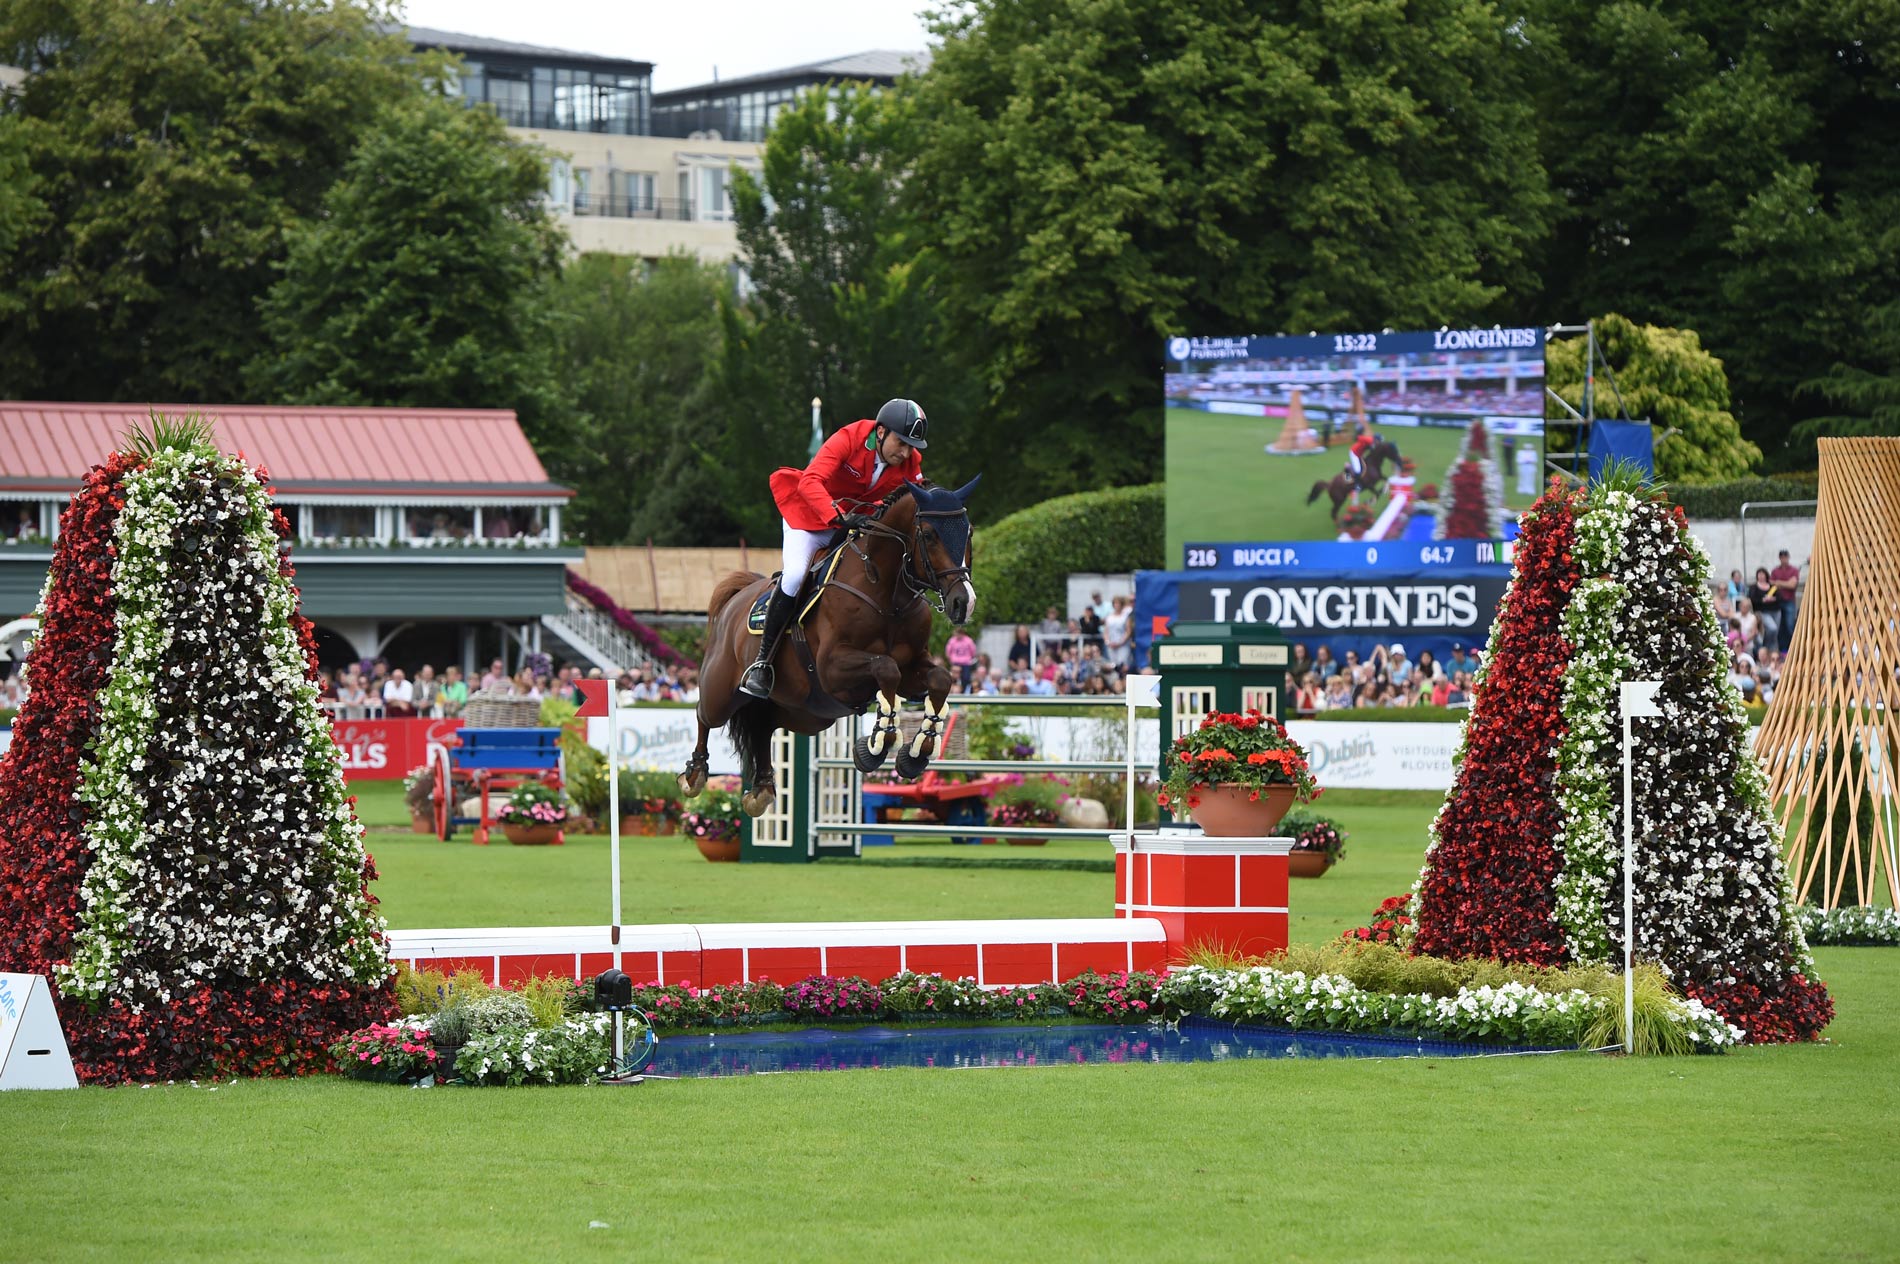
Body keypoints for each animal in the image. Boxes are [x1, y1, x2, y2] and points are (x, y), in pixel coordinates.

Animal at [680, 475, 980, 817]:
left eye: (969, 532)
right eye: (929, 535)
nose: (963, 603)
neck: (888, 595)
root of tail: (738, 597)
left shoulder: (912, 667)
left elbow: (939, 679)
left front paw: (918, 751)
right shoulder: (832, 668)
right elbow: (885, 668)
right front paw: (876, 744)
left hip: (804, 712)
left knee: (763, 725)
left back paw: (762, 789)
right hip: (723, 692)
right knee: (705, 714)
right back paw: (695, 774)